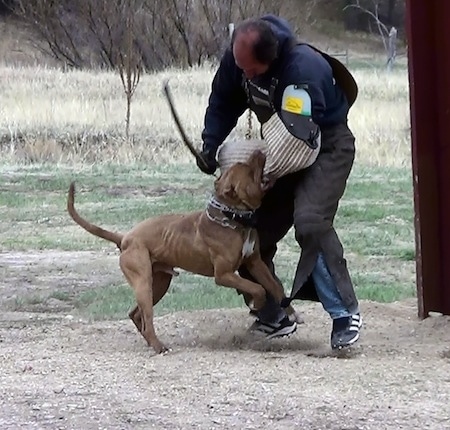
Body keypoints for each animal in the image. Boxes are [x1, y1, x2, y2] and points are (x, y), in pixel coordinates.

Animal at [67, 150, 292, 352]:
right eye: (247, 169)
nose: (258, 151)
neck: (234, 218)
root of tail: (125, 238)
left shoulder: (255, 263)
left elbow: (274, 286)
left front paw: (289, 309)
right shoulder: (224, 275)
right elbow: (257, 288)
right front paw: (258, 302)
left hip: (159, 283)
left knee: (136, 314)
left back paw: (151, 342)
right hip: (143, 282)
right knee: (146, 317)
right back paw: (159, 346)